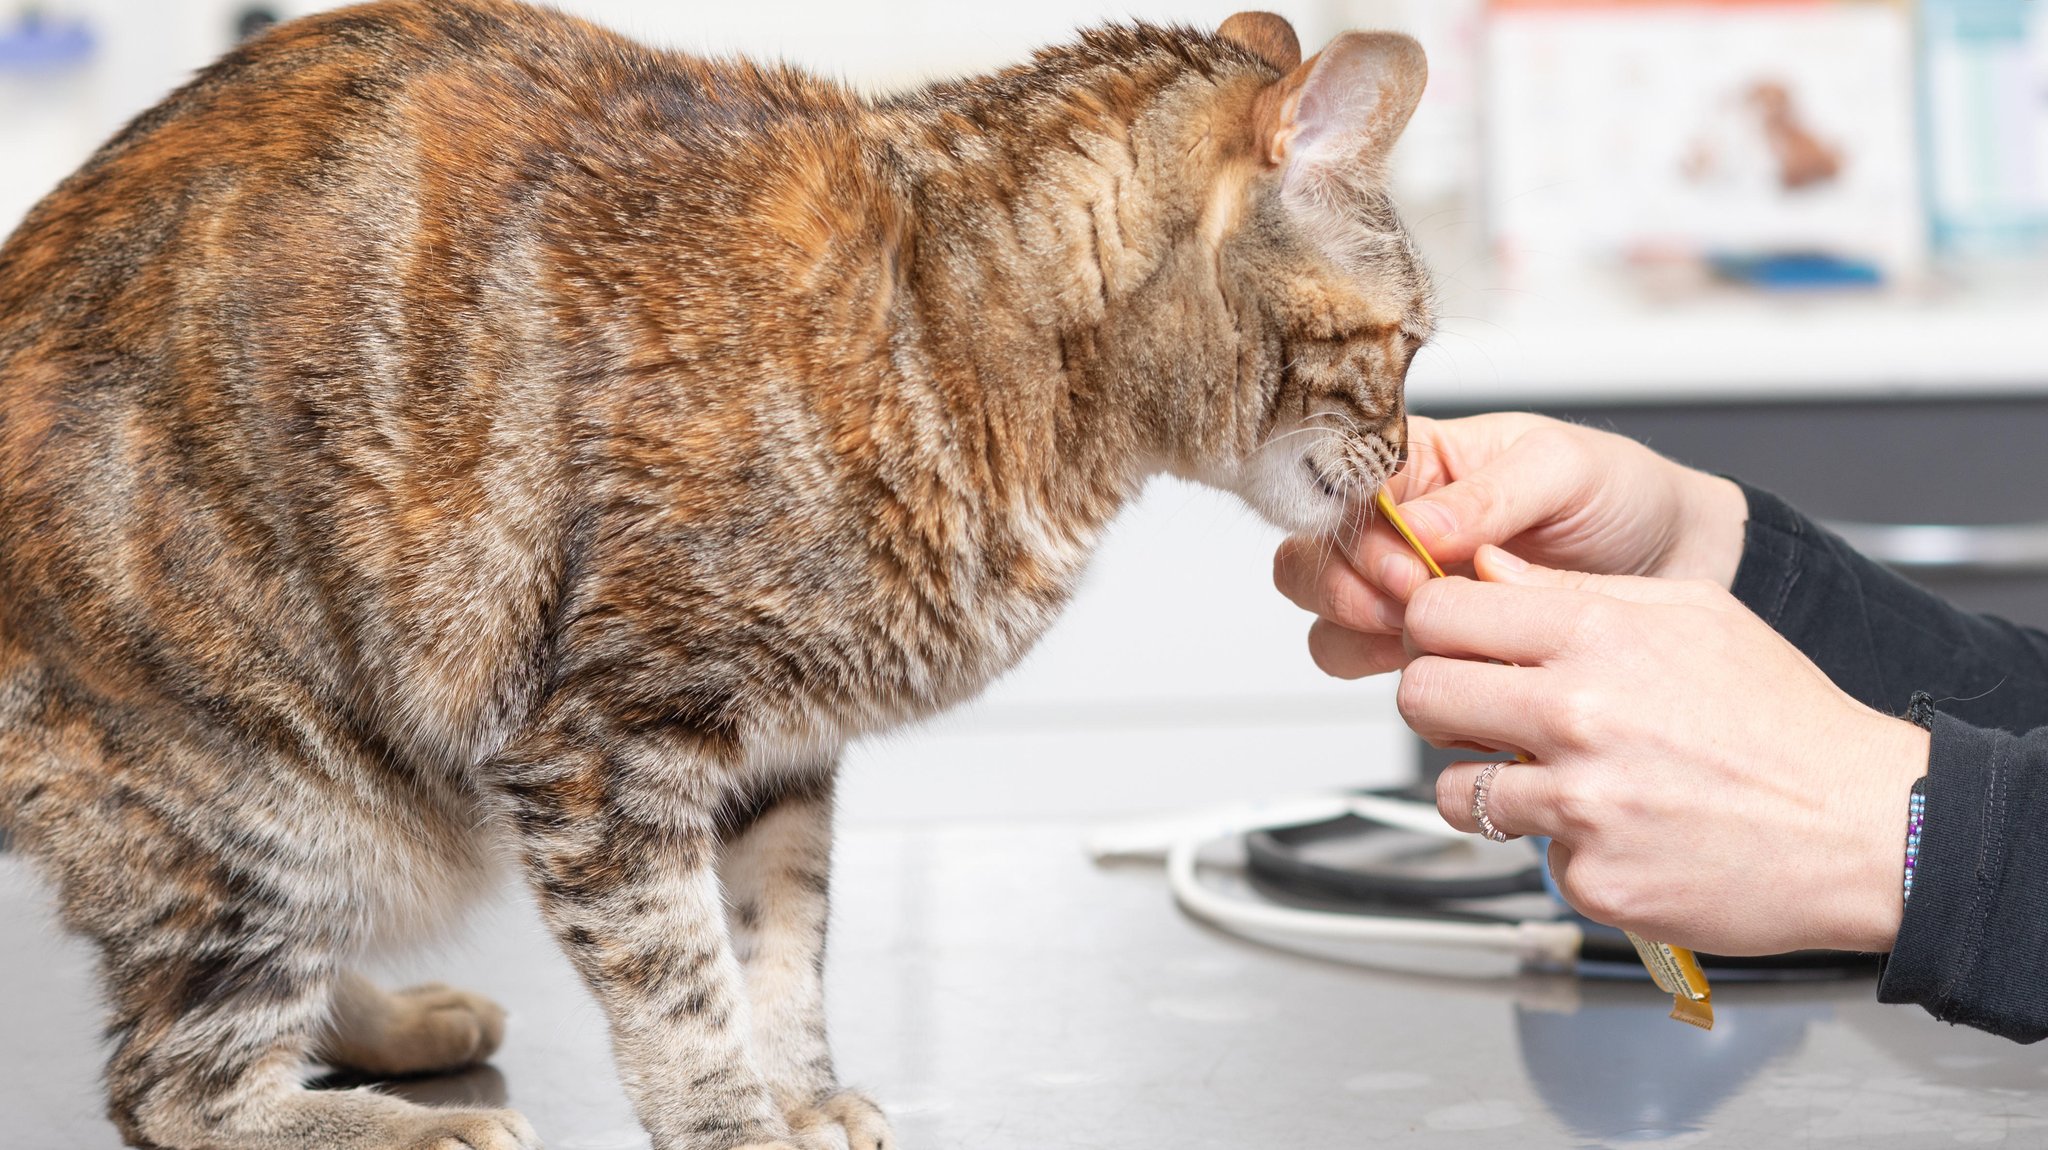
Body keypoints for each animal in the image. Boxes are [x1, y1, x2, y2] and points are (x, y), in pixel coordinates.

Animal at [0, 4, 1433, 1137]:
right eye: (1410, 341)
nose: (1411, 453)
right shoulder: (602, 751)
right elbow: (678, 986)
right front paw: (734, 1121)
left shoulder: (778, 758)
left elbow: (776, 947)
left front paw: (800, 1094)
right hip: (270, 789)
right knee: (176, 1084)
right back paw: (398, 1122)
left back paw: (397, 1026)